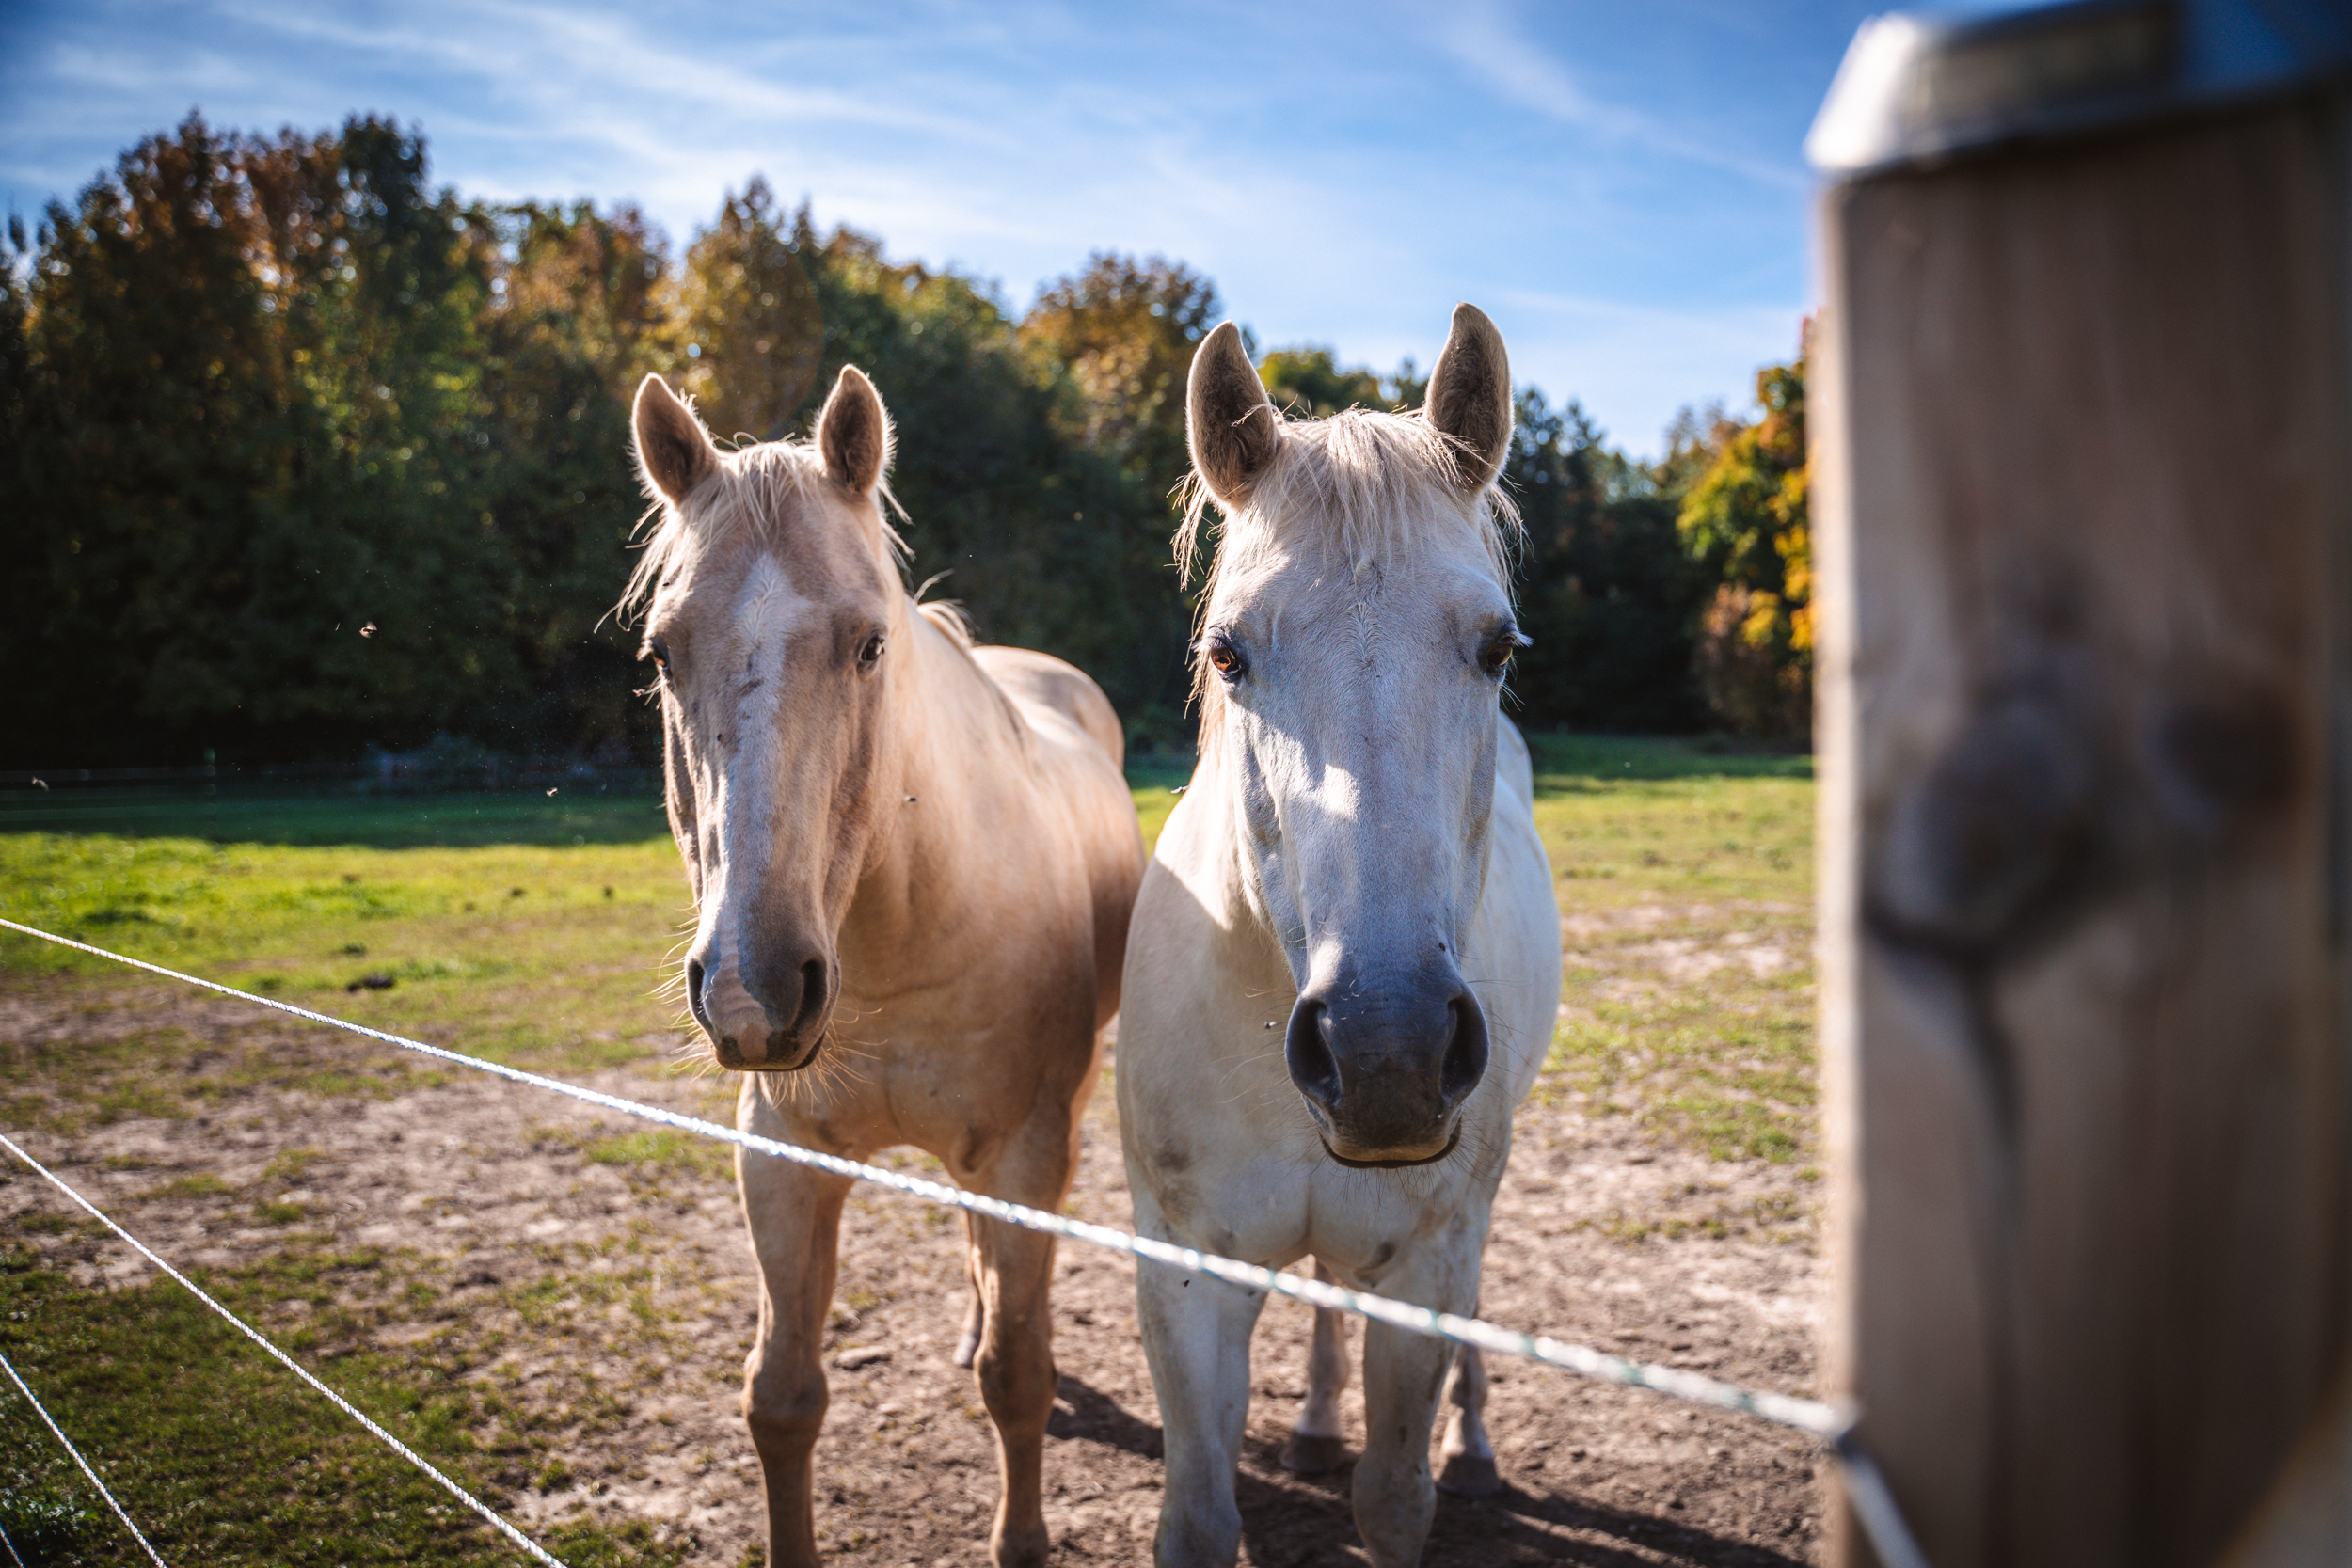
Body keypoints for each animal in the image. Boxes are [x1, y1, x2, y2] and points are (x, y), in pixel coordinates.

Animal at [621, 369, 1143, 1568]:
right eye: (662, 653)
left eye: (868, 644)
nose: (752, 990)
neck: (901, 940)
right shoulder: (781, 1159)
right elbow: (781, 1395)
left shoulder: (1025, 1150)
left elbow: (1018, 1378)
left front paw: (1021, 1538)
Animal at [1115, 300, 1562, 1560]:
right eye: (1228, 650)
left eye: (1497, 646)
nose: (1386, 1051)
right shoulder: (1183, 1274)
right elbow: (1197, 1513)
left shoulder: (1423, 1271)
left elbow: (1394, 1493)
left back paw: (1476, 1447)